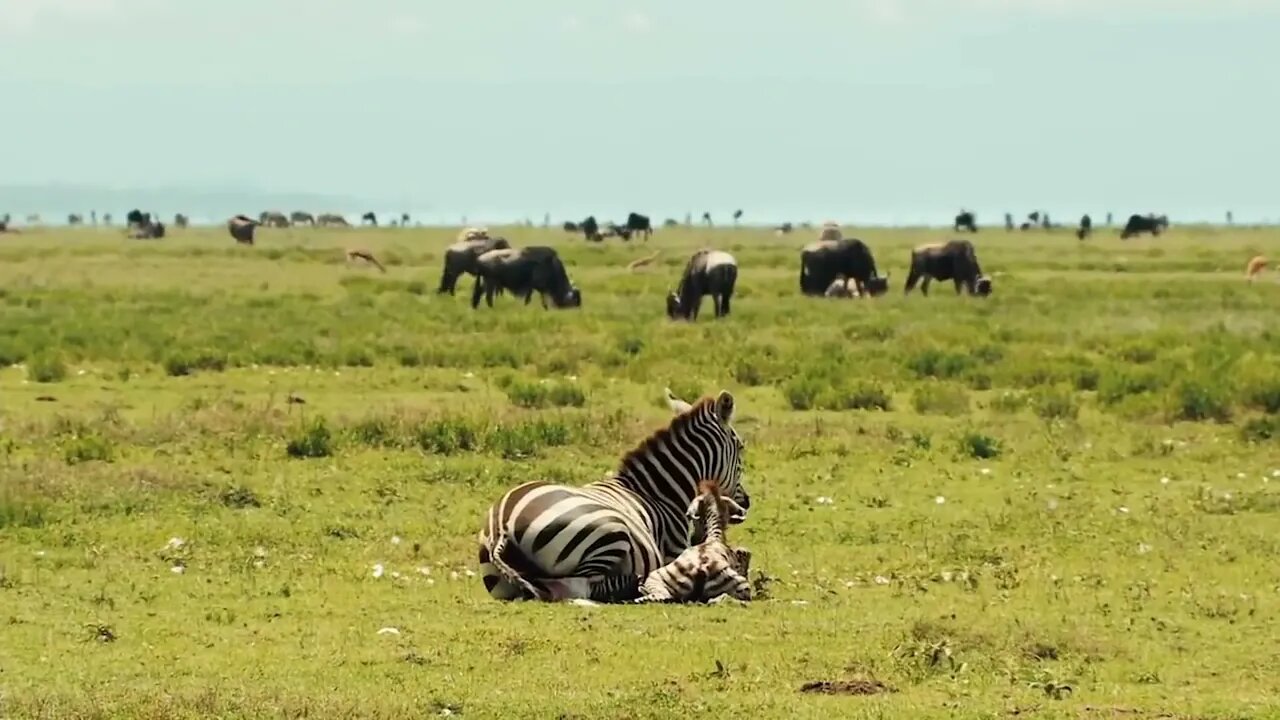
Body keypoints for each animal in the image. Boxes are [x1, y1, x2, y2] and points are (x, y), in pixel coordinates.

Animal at [478, 386, 747, 599]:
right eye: (742, 448)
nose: (746, 502)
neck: (659, 493)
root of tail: (502, 524)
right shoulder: (677, 551)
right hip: (611, 532)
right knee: (577, 587)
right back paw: (631, 583)